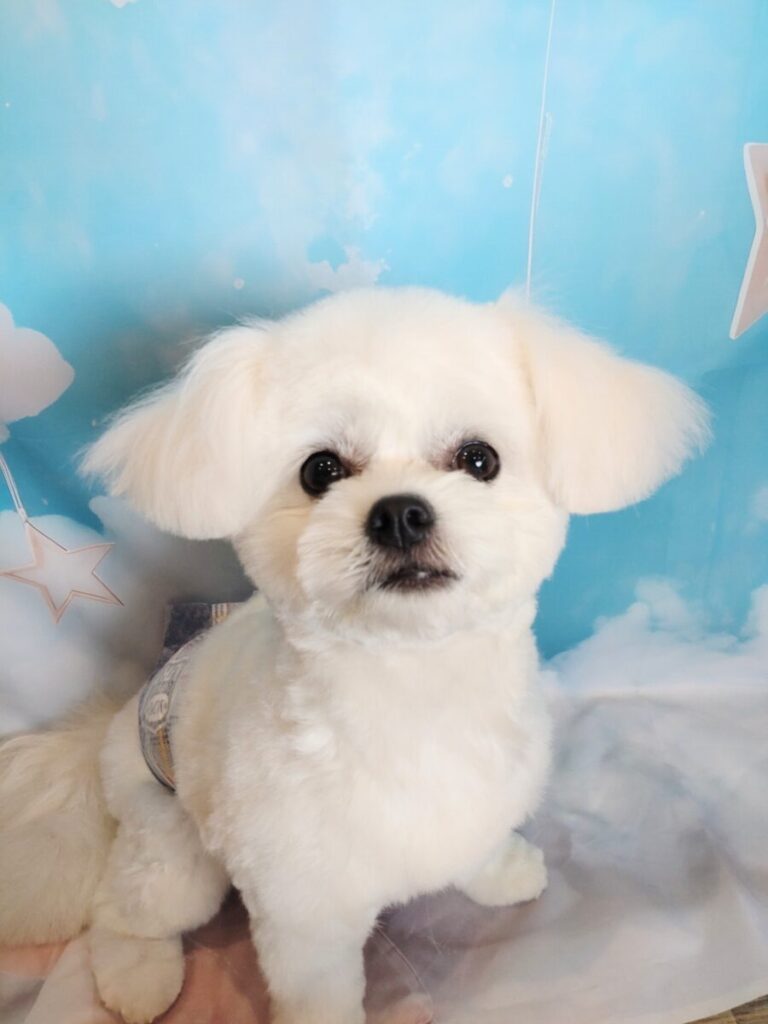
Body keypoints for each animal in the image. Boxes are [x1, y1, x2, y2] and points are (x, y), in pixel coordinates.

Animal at [0, 287, 709, 1024]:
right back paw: (138, 977)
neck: (417, 691)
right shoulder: (304, 914)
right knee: (125, 908)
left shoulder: (481, 796)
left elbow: (479, 845)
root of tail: (110, 726)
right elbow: (319, 990)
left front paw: (504, 872)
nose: (399, 514)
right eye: (321, 470)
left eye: (479, 459)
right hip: (169, 838)